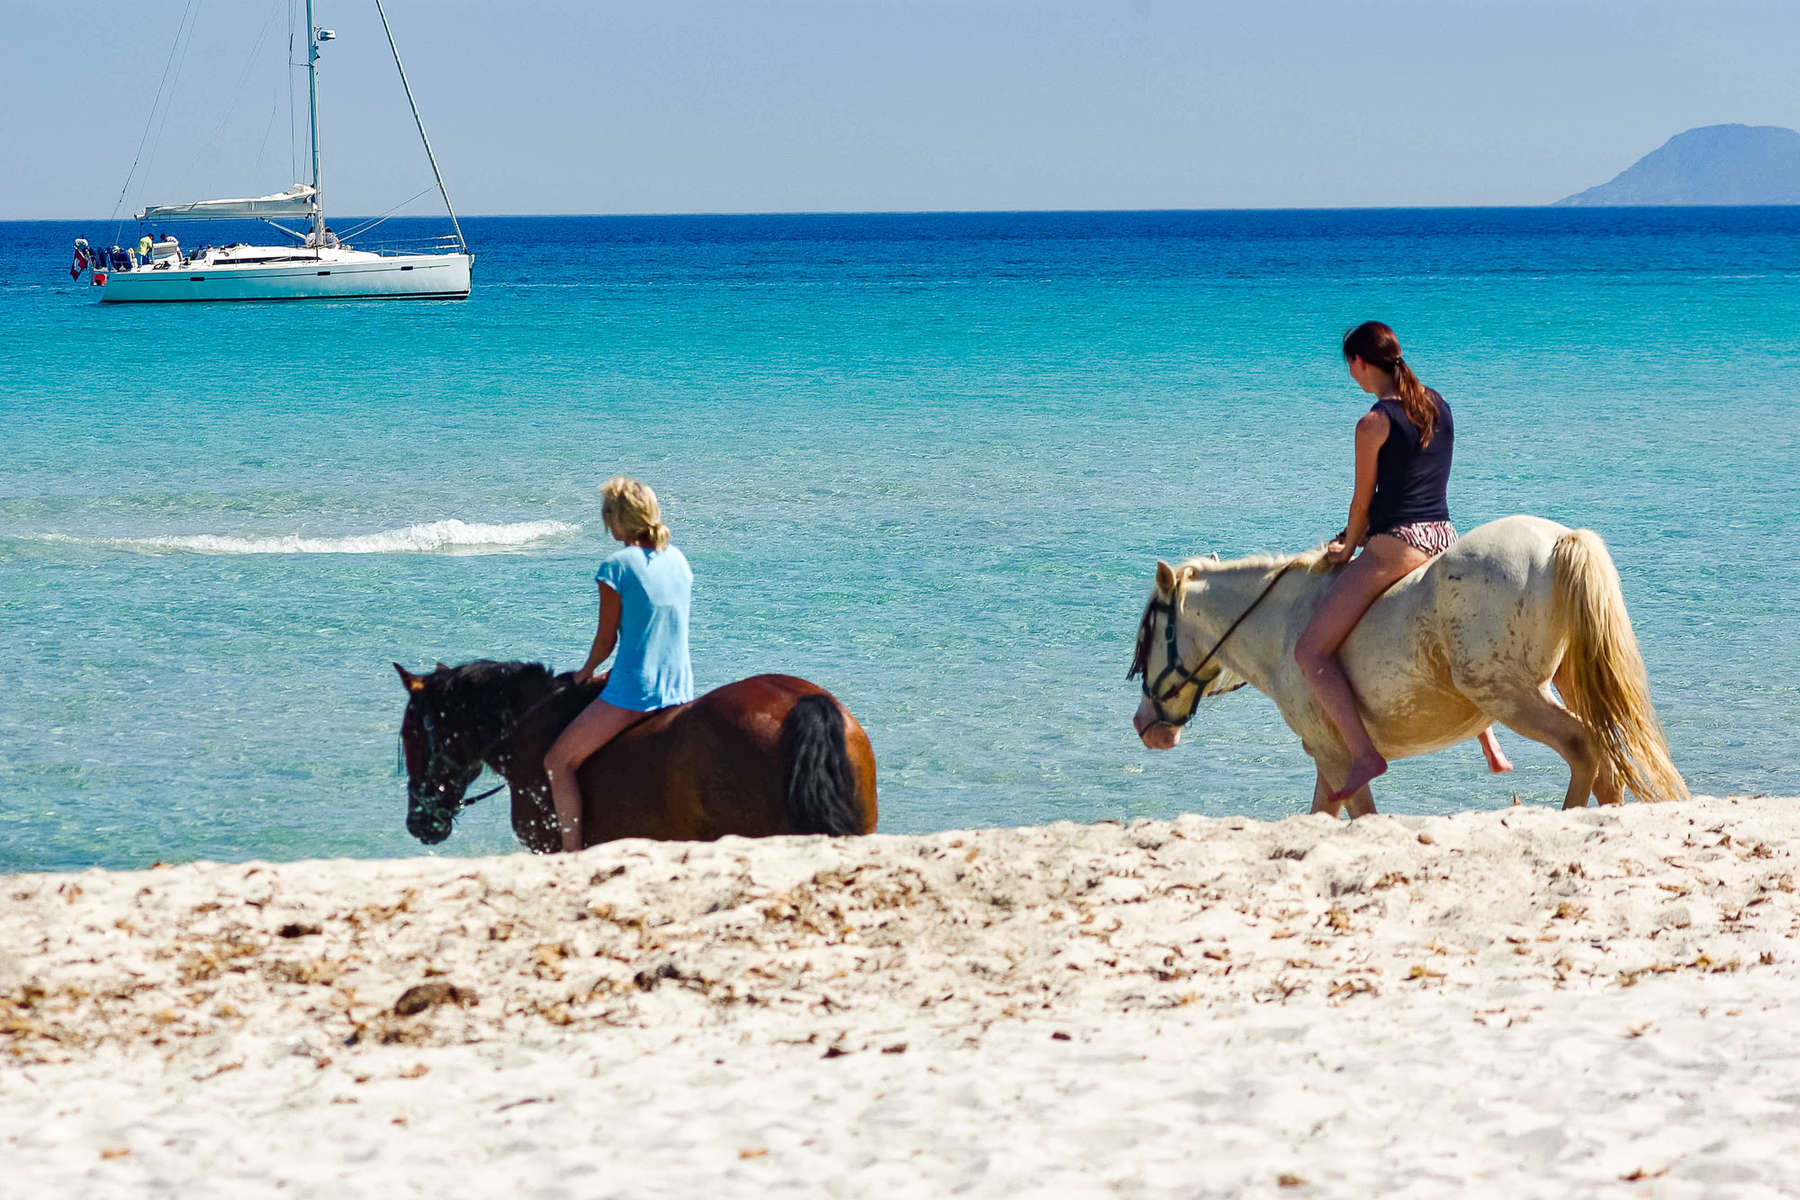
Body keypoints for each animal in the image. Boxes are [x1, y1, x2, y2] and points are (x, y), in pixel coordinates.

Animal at [1130, 518, 1692, 816]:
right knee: (1606, 760)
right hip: (1557, 684)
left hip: (1510, 695)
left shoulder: (1339, 756)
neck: (1283, 621)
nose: (1143, 724)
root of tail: (1558, 539)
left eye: (1144, 635)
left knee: (1584, 747)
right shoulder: (1328, 760)